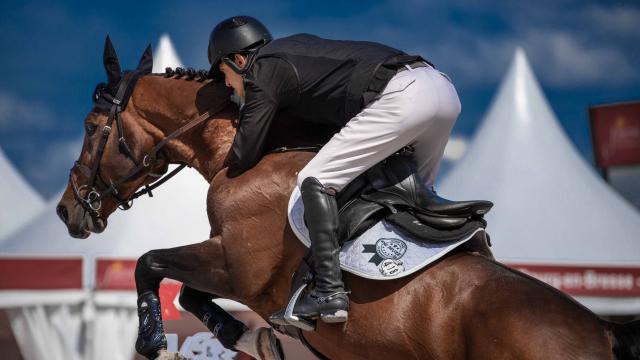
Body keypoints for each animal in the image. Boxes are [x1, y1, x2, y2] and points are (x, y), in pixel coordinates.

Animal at [56, 39, 640, 360]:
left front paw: (152, 339)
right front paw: (253, 339)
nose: (67, 210)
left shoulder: (238, 267)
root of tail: (606, 331)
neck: (237, 157)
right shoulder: (232, 268)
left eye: (91, 127)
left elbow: (151, 265)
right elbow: (188, 293)